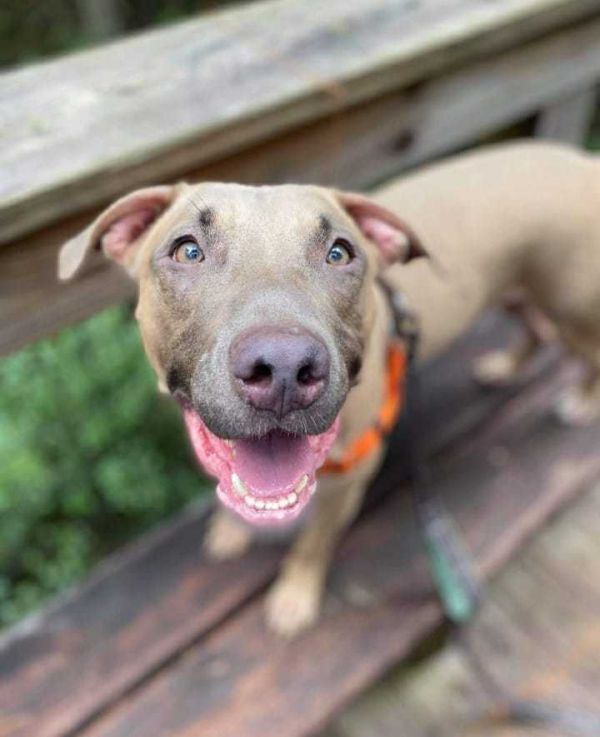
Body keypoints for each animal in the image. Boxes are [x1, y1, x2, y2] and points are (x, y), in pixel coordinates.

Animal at [58, 141, 600, 636]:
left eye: (339, 253)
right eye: (188, 249)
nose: (282, 368)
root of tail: (582, 162)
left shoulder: (349, 480)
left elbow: (311, 545)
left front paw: (294, 598)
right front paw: (231, 530)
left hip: (574, 313)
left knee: (585, 355)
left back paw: (579, 401)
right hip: (520, 293)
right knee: (535, 330)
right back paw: (505, 365)